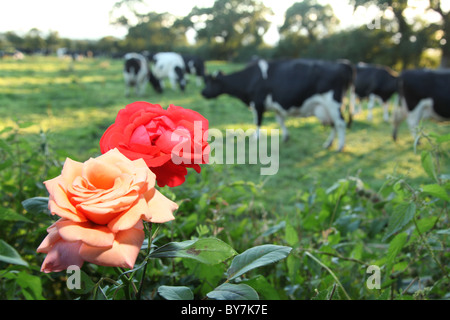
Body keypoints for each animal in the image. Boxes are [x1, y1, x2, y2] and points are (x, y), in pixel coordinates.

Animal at [201, 58, 356, 151]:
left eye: (211, 82)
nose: (202, 92)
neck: (252, 77)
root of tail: (343, 63)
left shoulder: (258, 103)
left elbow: (258, 122)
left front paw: (256, 137)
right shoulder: (276, 107)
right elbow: (280, 121)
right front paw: (286, 137)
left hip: (333, 103)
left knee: (340, 123)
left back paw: (340, 147)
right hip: (327, 108)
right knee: (334, 124)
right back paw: (328, 143)